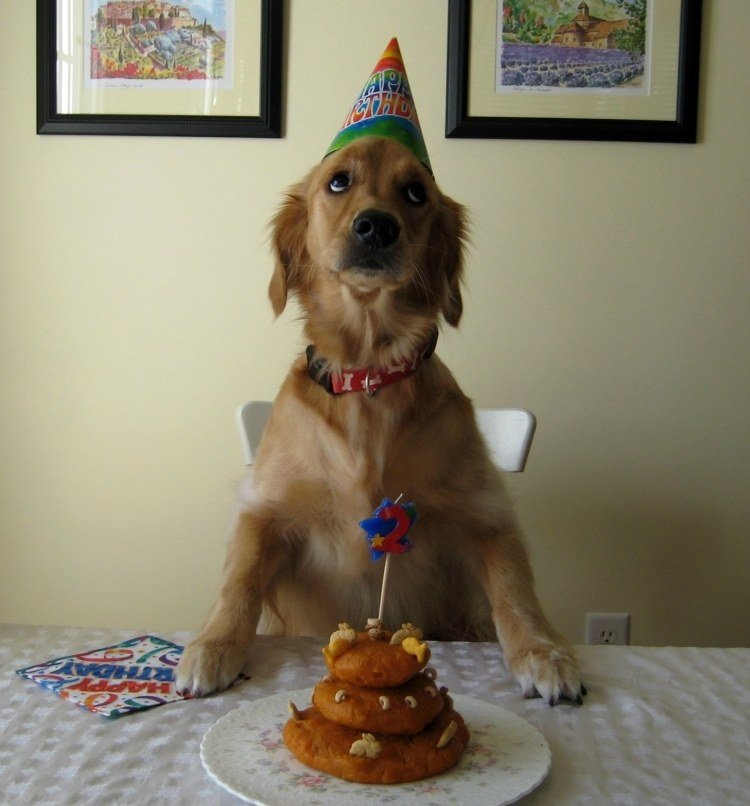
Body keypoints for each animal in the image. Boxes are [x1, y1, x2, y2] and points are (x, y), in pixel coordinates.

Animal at [178, 136, 588, 704]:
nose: (377, 225)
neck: (369, 375)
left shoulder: (484, 513)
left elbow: (514, 589)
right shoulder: (264, 507)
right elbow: (238, 580)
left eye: (415, 192)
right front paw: (213, 646)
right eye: (338, 181)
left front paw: (542, 653)